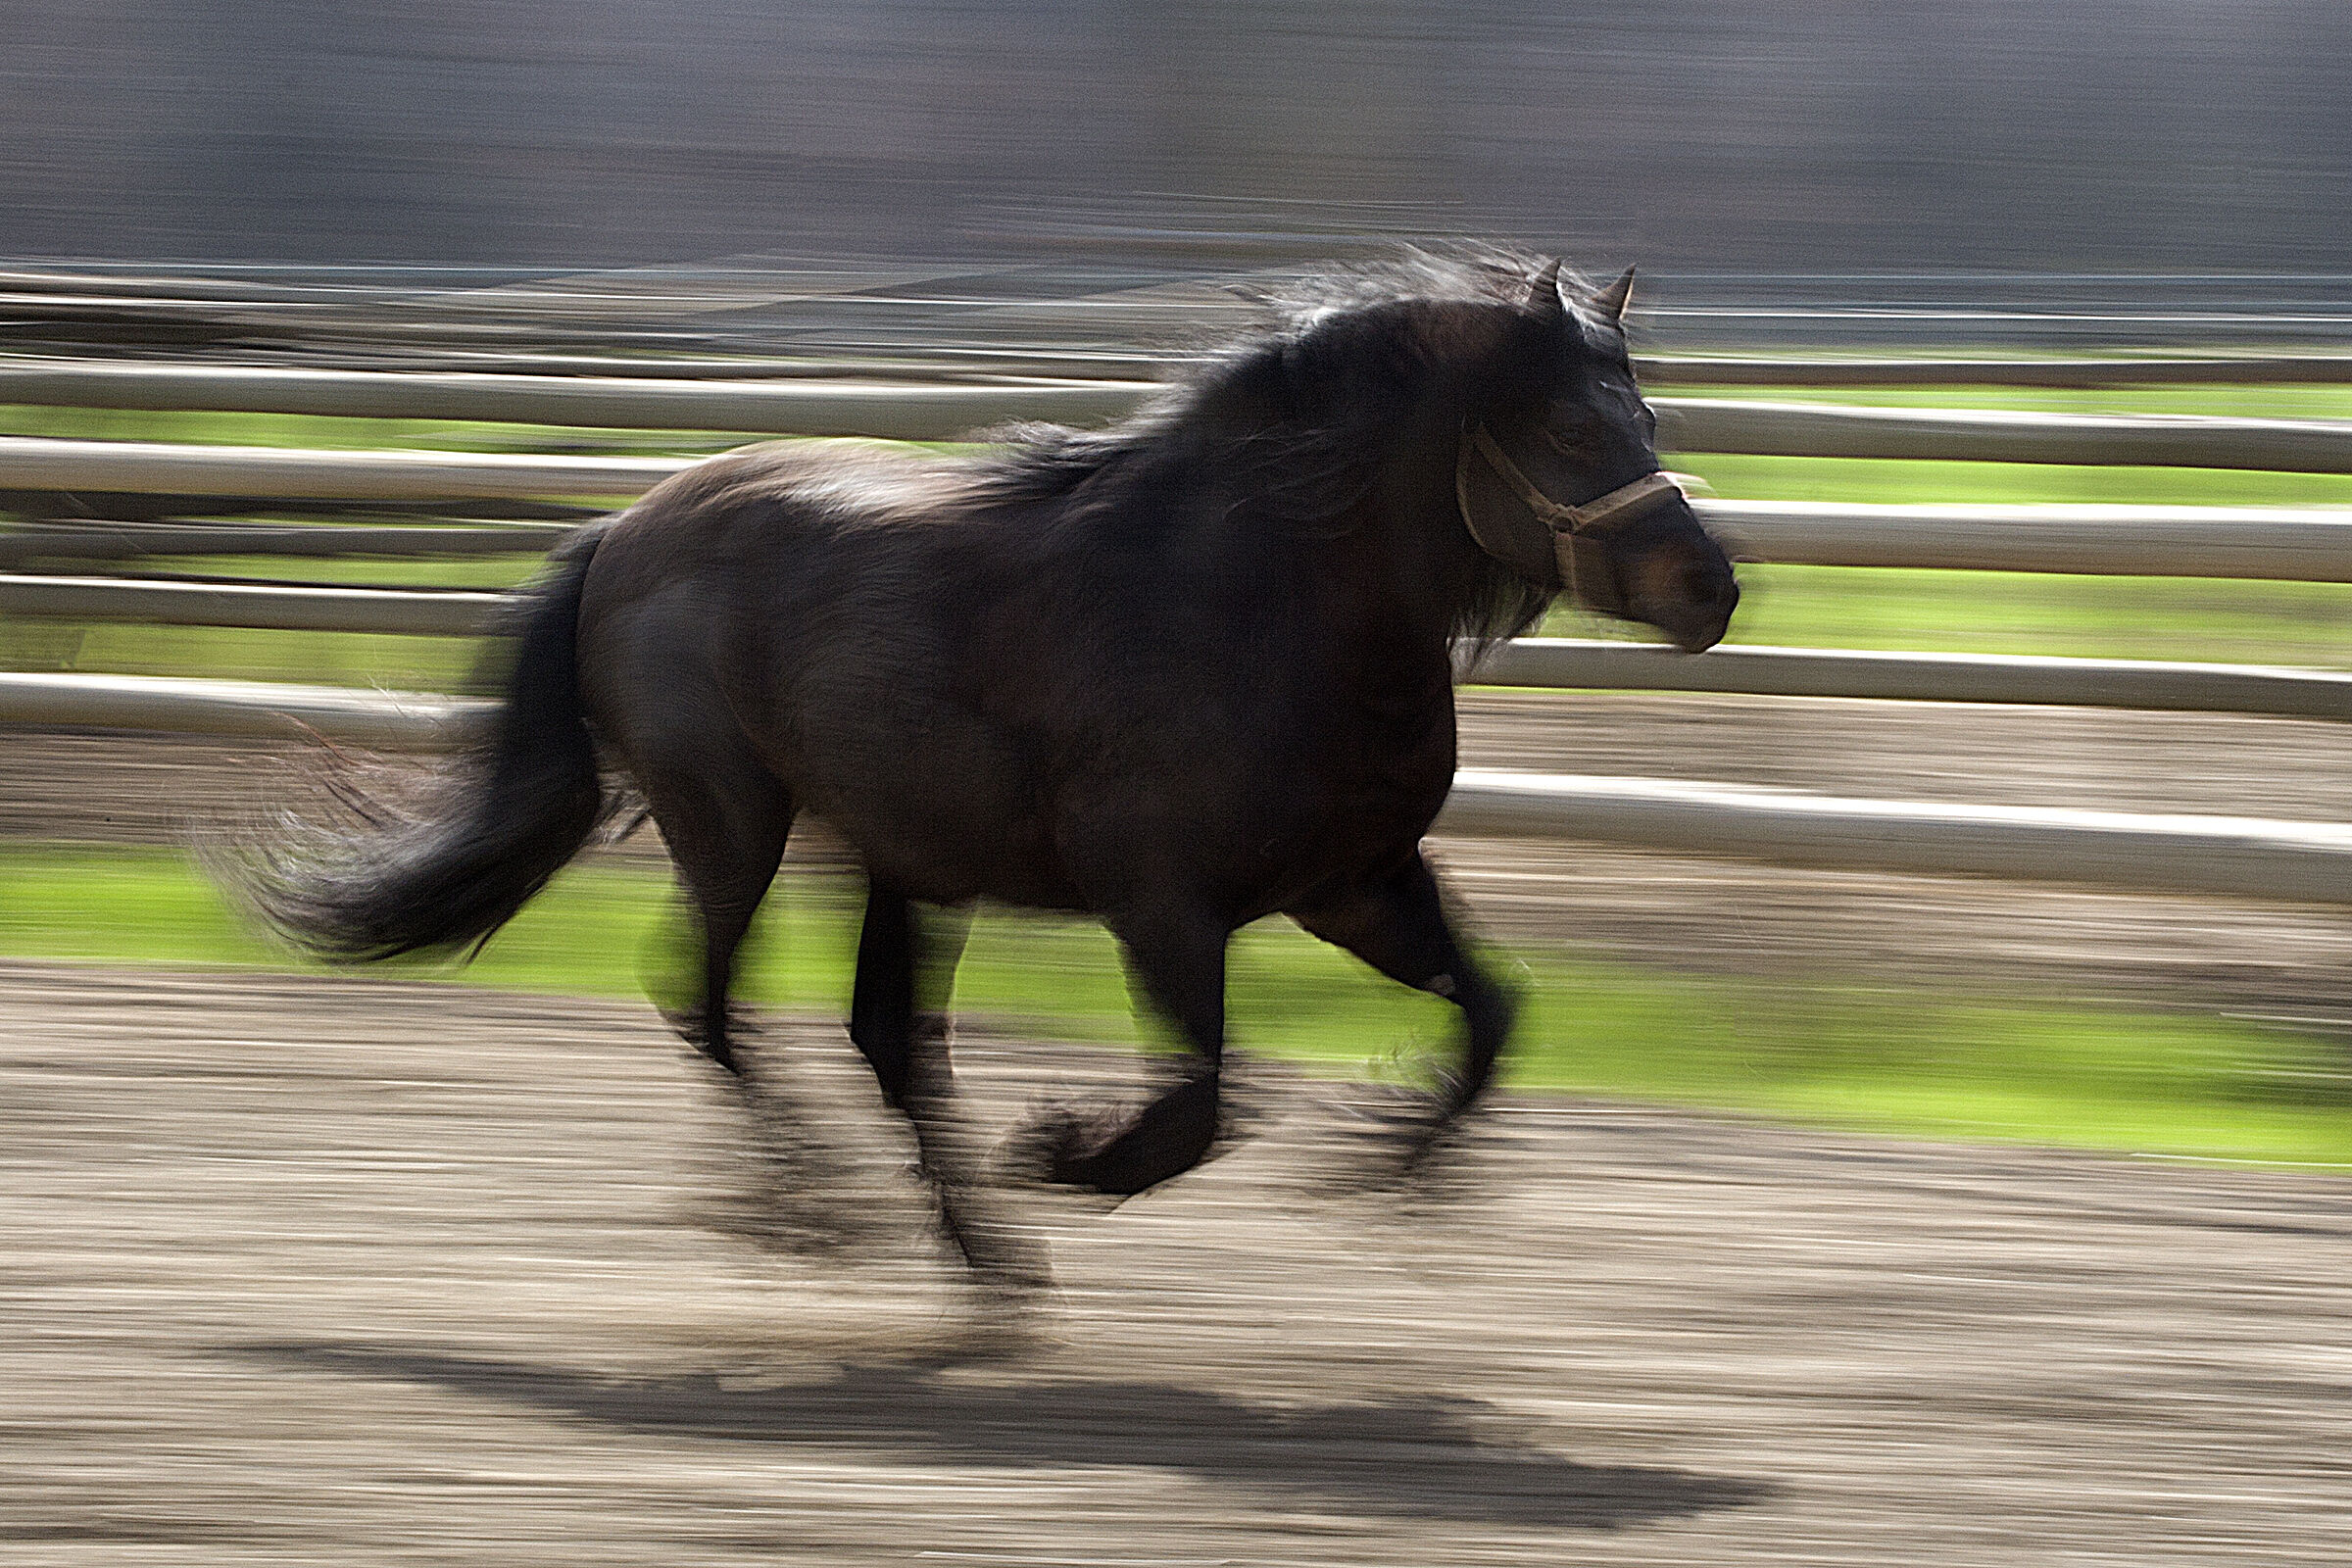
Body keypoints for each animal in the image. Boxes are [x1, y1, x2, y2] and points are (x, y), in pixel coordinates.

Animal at [247, 252, 1739, 1283]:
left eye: (1649, 419)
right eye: (1567, 429)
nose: (1710, 587)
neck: (1263, 600)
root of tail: (620, 529)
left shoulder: (1355, 882)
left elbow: (1493, 1013)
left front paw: (1392, 1168)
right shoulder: (1164, 903)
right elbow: (1206, 1100)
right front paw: (1072, 1155)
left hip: (900, 858)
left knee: (887, 1044)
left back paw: (982, 1268)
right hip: (731, 821)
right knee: (712, 1004)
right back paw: (822, 1215)